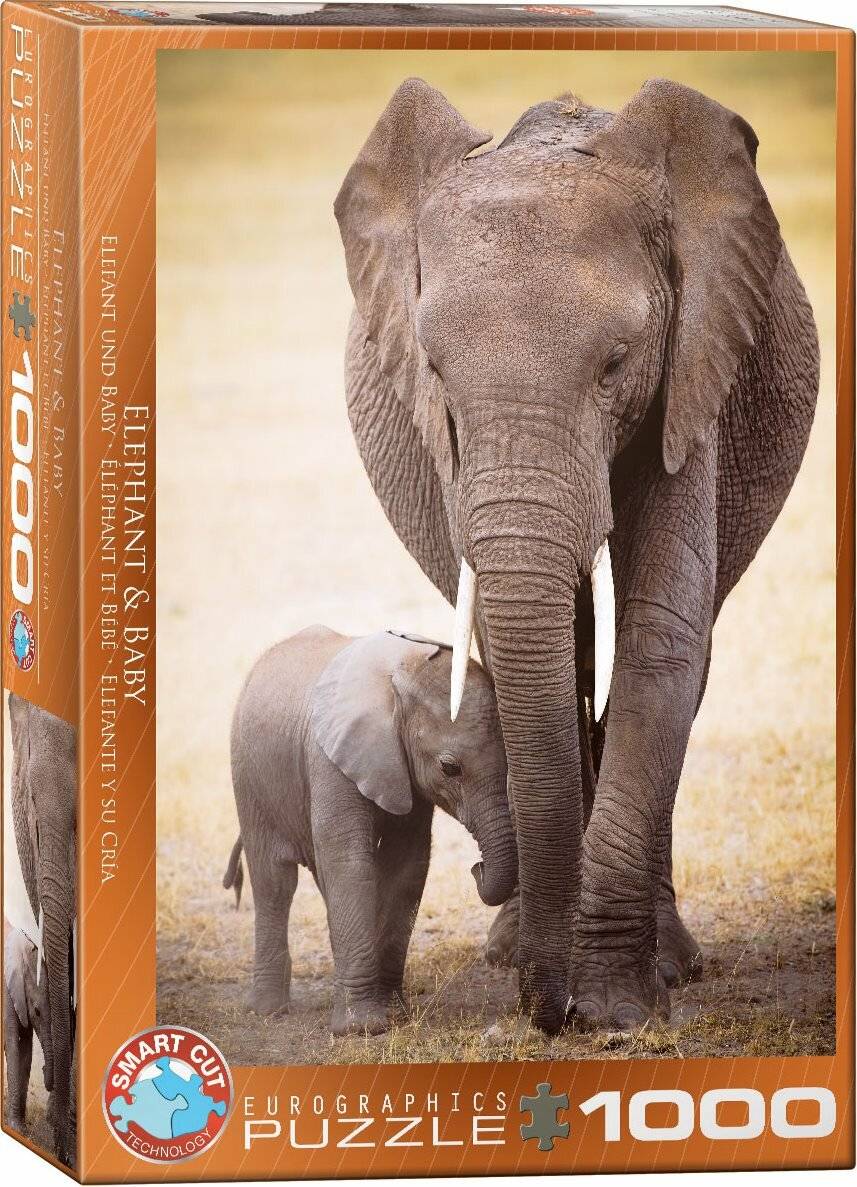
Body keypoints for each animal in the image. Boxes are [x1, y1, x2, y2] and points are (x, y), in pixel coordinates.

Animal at [225, 625, 516, 1035]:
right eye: (450, 768)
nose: (477, 868)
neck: (400, 676)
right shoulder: (329, 759)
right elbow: (350, 863)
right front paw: (361, 1029)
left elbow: (407, 866)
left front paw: (394, 1013)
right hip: (249, 778)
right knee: (274, 881)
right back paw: (268, 1010)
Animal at [335, 78, 819, 1033]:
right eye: (434, 372)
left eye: (615, 364)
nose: (544, 1010)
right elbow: (528, 648)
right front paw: (559, 979)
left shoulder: (693, 374)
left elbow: (659, 639)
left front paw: (617, 1007)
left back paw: (669, 961)